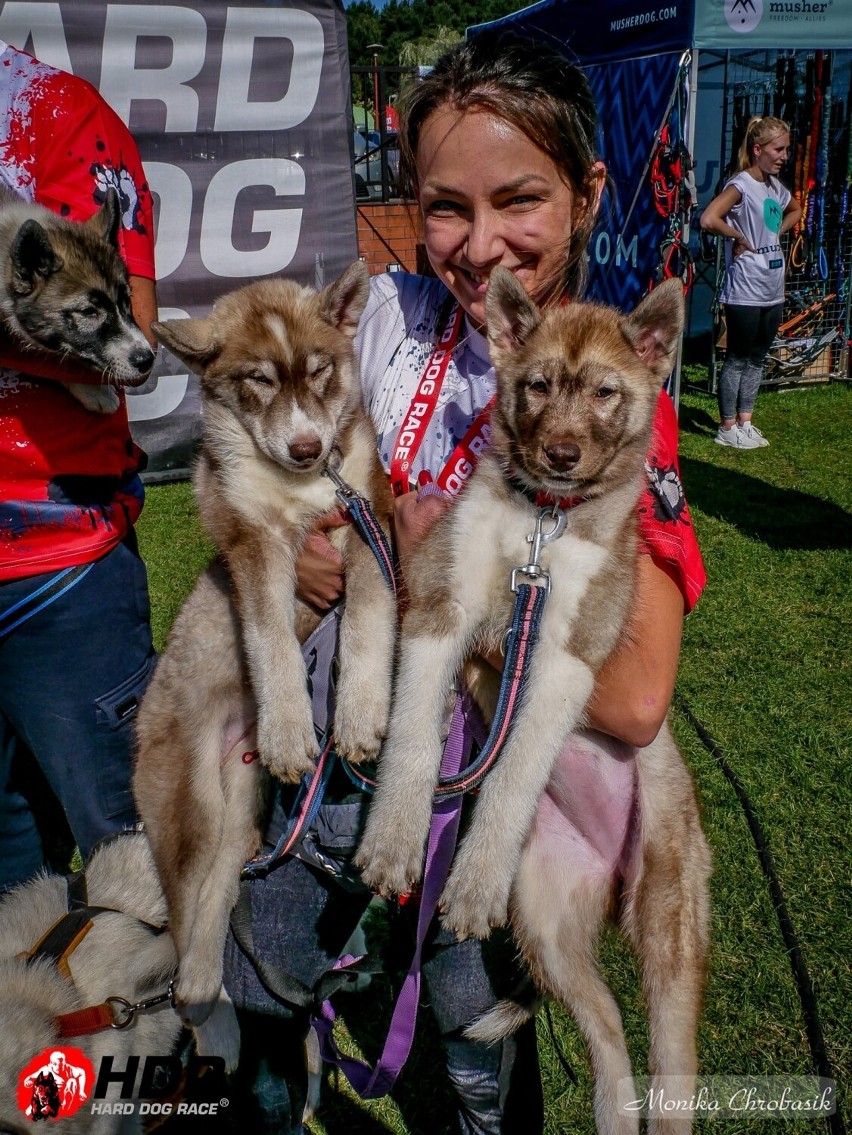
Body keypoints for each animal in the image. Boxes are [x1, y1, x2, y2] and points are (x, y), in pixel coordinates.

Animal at [133, 259, 397, 1044]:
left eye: (319, 372)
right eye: (257, 381)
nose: (308, 448)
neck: (302, 491)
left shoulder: (367, 514)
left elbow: (371, 616)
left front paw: (359, 716)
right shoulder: (252, 543)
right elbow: (270, 637)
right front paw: (287, 727)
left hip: (241, 798)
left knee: (222, 884)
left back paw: (210, 997)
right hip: (186, 808)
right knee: (186, 905)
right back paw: (203, 1008)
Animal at [356, 270, 707, 1130]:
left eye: (608, 392)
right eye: (539, 385)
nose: (561, 453)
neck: (544, 519)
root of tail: (614, 882)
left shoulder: (567, 656)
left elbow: (515, 771)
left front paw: (472, 878)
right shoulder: (439, 606)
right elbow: (414, 733)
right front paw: (393, 840)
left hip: (670, 918)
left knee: (672, 1064)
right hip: (546, 925)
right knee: (609, 1038)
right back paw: (614, 1112)